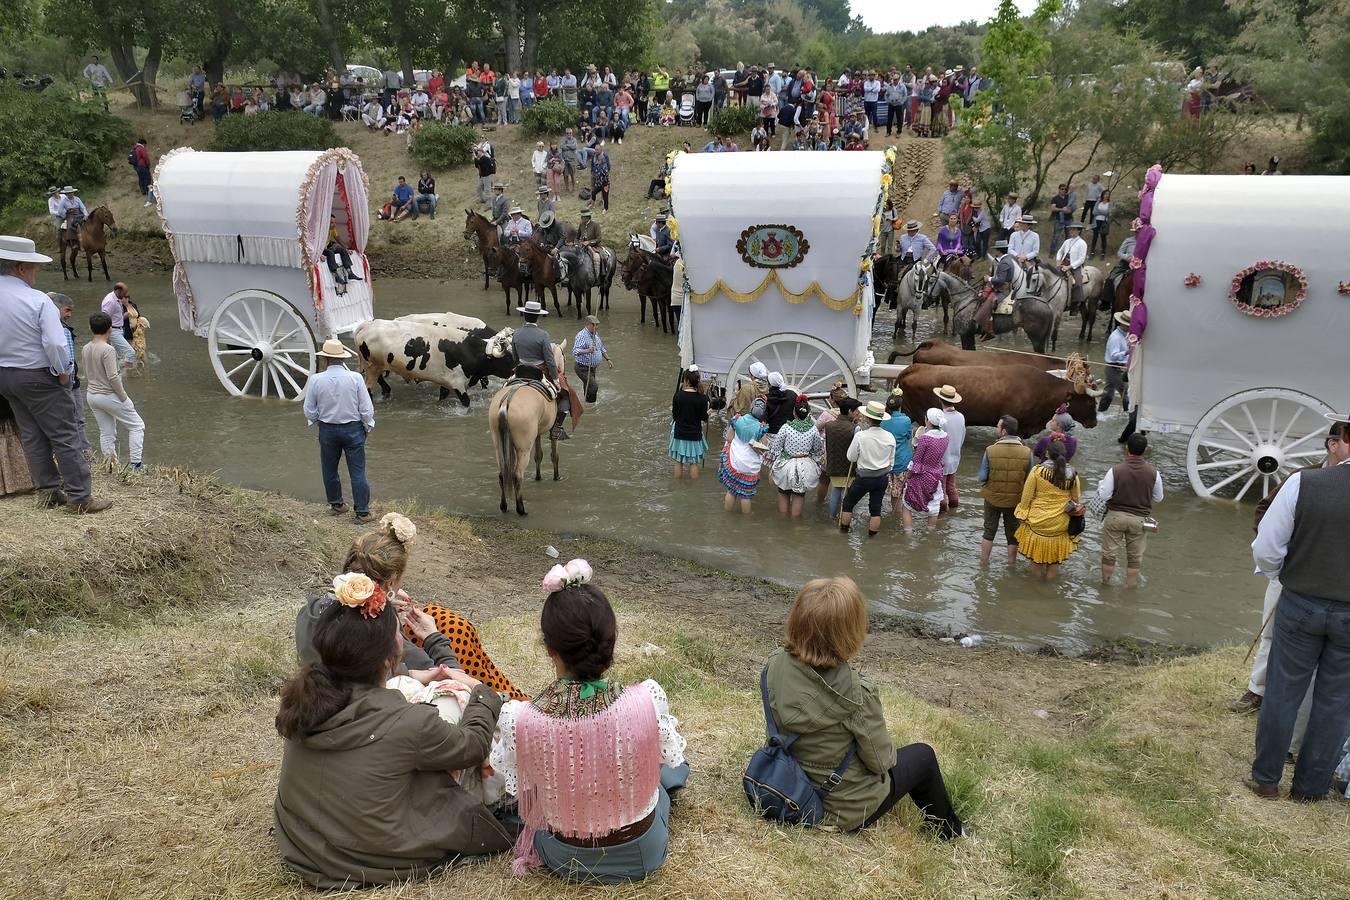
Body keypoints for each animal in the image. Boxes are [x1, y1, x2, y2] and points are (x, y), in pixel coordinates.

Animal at [353, 313, 515, 404]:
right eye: (507, 358)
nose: (517, 370)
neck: (467, 350)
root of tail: (368, 325)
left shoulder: (446, 382)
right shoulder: (457, 383)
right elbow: (467, 402)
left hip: (376, 367)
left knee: (383, 384)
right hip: (371, 368)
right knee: (369, 390)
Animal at [488, 342, 567, 518]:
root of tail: (507, 400)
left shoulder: (536, 434)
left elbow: (539, 455)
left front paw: (538, 476)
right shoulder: (550, 433)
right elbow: (555, 455)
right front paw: (557, 476)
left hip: (499, 445)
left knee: (502, 474)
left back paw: (504, 506)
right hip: (523, 448)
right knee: (517, 475)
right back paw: (521, 509)